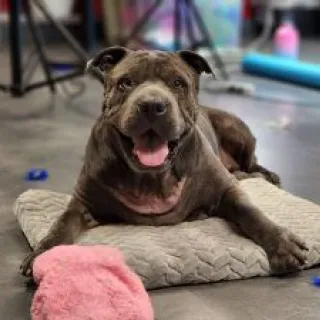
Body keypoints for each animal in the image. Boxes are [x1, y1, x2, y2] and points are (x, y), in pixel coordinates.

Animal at [20, 47, 308, 278]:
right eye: (126, 82)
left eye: (178, 83)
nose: (152, 105)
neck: (151, 178)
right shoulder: (82, 203)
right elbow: (61, 225)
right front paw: (42, 254)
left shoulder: (226, 190)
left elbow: (251, 212)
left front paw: (282, 243)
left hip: (235, 128)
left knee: (251, 165)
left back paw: (265, 176)